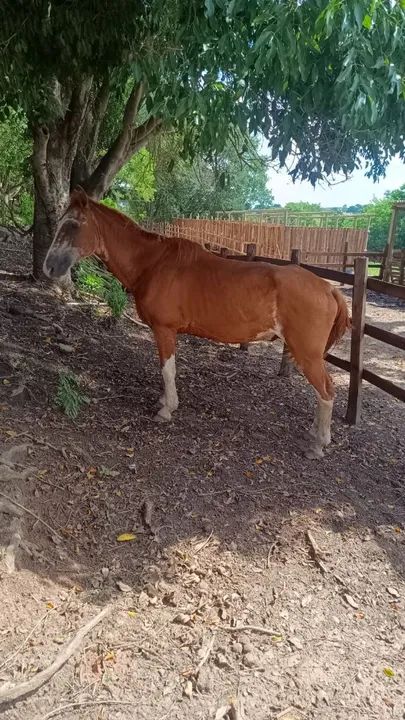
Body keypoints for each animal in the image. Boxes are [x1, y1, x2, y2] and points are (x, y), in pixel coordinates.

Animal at [43, 189, 350, 459]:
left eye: (72, 225)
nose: (48, 267)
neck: (153, 263)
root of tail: (328, 288)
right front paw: (163, 400)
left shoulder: (164, 330)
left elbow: (167, 369)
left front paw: (167, 408)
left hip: (307, 354)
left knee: (327, 391)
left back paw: (318, 444)